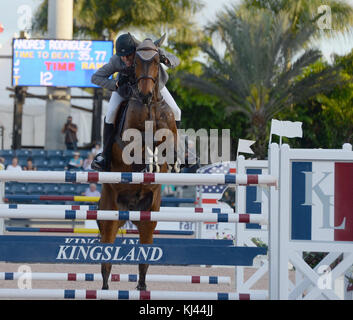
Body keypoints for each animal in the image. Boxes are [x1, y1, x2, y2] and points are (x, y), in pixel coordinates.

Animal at [97, 36, 177, 292]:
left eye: (157, 60)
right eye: (134, 65)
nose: (144, 95)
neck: (149, 105)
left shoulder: (170, 132)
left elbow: (167, 142)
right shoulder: (127, 140)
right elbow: (141, 144)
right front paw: (147, 163)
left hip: (148, 217)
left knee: (145, 258)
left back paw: (142, 286)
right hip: (110, 214)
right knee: (106, 260)